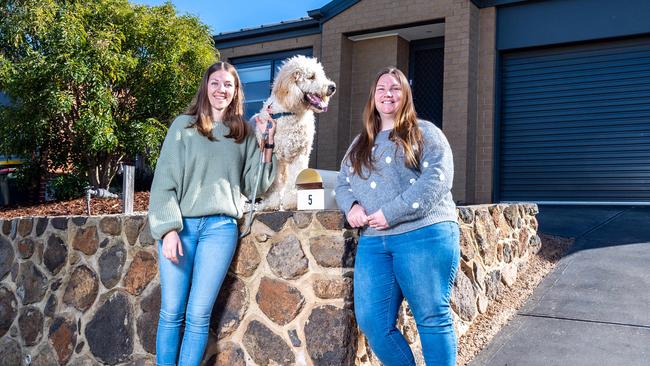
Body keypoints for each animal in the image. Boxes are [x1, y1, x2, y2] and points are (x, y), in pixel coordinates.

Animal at [253, 56, 334, 212]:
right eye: (311, 77)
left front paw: (292, 201)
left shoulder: (299, 154)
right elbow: (276, 183)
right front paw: (273, 203)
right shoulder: (275, 157)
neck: (289, 112)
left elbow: (296, 177)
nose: (332, 87)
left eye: (322, 75)